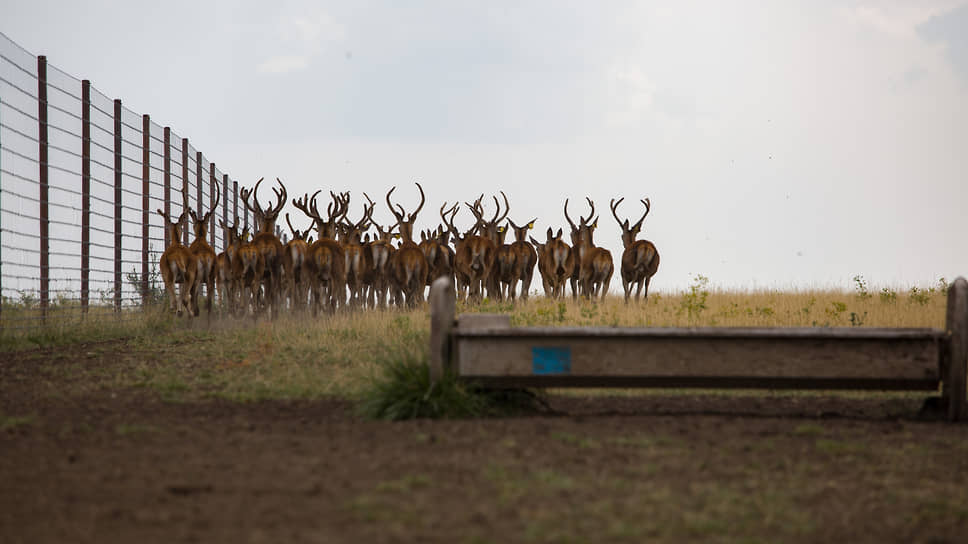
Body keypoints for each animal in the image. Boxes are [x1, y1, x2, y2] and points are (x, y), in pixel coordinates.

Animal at [184, 184, 220, 318]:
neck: (200, 238)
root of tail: (204, 257)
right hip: (211, 277)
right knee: (209, 303)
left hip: (197, 277)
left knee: (194, 300)